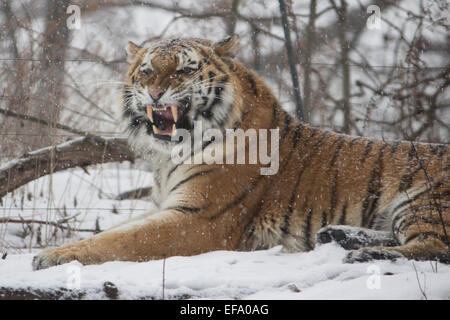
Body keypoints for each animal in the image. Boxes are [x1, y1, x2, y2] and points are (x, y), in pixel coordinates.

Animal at [32, 35, 450, 270]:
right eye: (147, 70)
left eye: (183, 70)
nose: (154, 93)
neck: (171, 154)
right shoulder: (168, 205)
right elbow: (116, 231)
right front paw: (52, 250)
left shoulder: (200, 218)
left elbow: (123, 240)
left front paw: (53, 257)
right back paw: (338, 234)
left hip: (424, 201)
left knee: (434, 246)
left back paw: (363, 255)